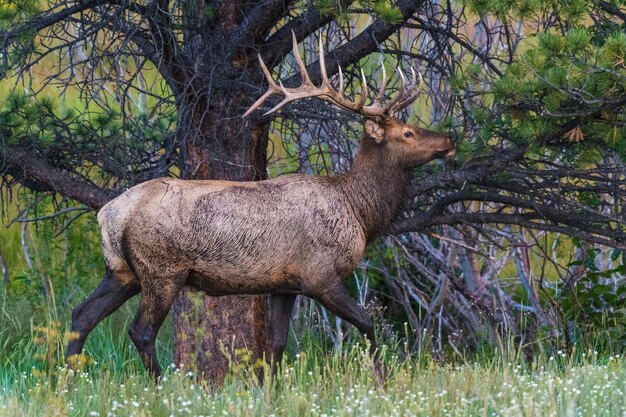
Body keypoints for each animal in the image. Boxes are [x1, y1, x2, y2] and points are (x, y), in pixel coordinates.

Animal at [64, 34, 454, 376]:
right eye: (407, 133)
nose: (449, 140)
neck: (360, 213)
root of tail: (108, 213)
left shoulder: (285, 284)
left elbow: (276, 344)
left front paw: (269, 388)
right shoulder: (319, 275)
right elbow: (368, 323)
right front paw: (381, 377)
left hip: (121, 270)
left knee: (80, 316)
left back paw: (70, 379)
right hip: (162, 269)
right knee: (140, 331)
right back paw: (160, 386)